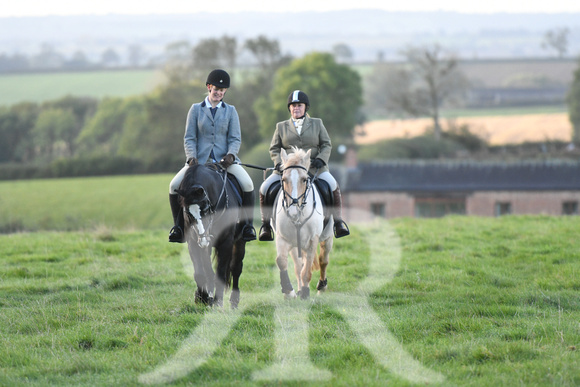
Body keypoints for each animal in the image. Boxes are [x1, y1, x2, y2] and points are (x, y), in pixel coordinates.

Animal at [274, 148, 334, 300]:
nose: (293, 211)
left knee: (323, 260)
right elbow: (281, 261)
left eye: (304, 180)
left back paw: (321, 287)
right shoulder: (282, 238)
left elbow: (307, 269)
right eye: (284, 179)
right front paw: (289, 291)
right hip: (296, 245)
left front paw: (306, 292)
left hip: (327, 237)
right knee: (298, 265)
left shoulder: (313, 239)